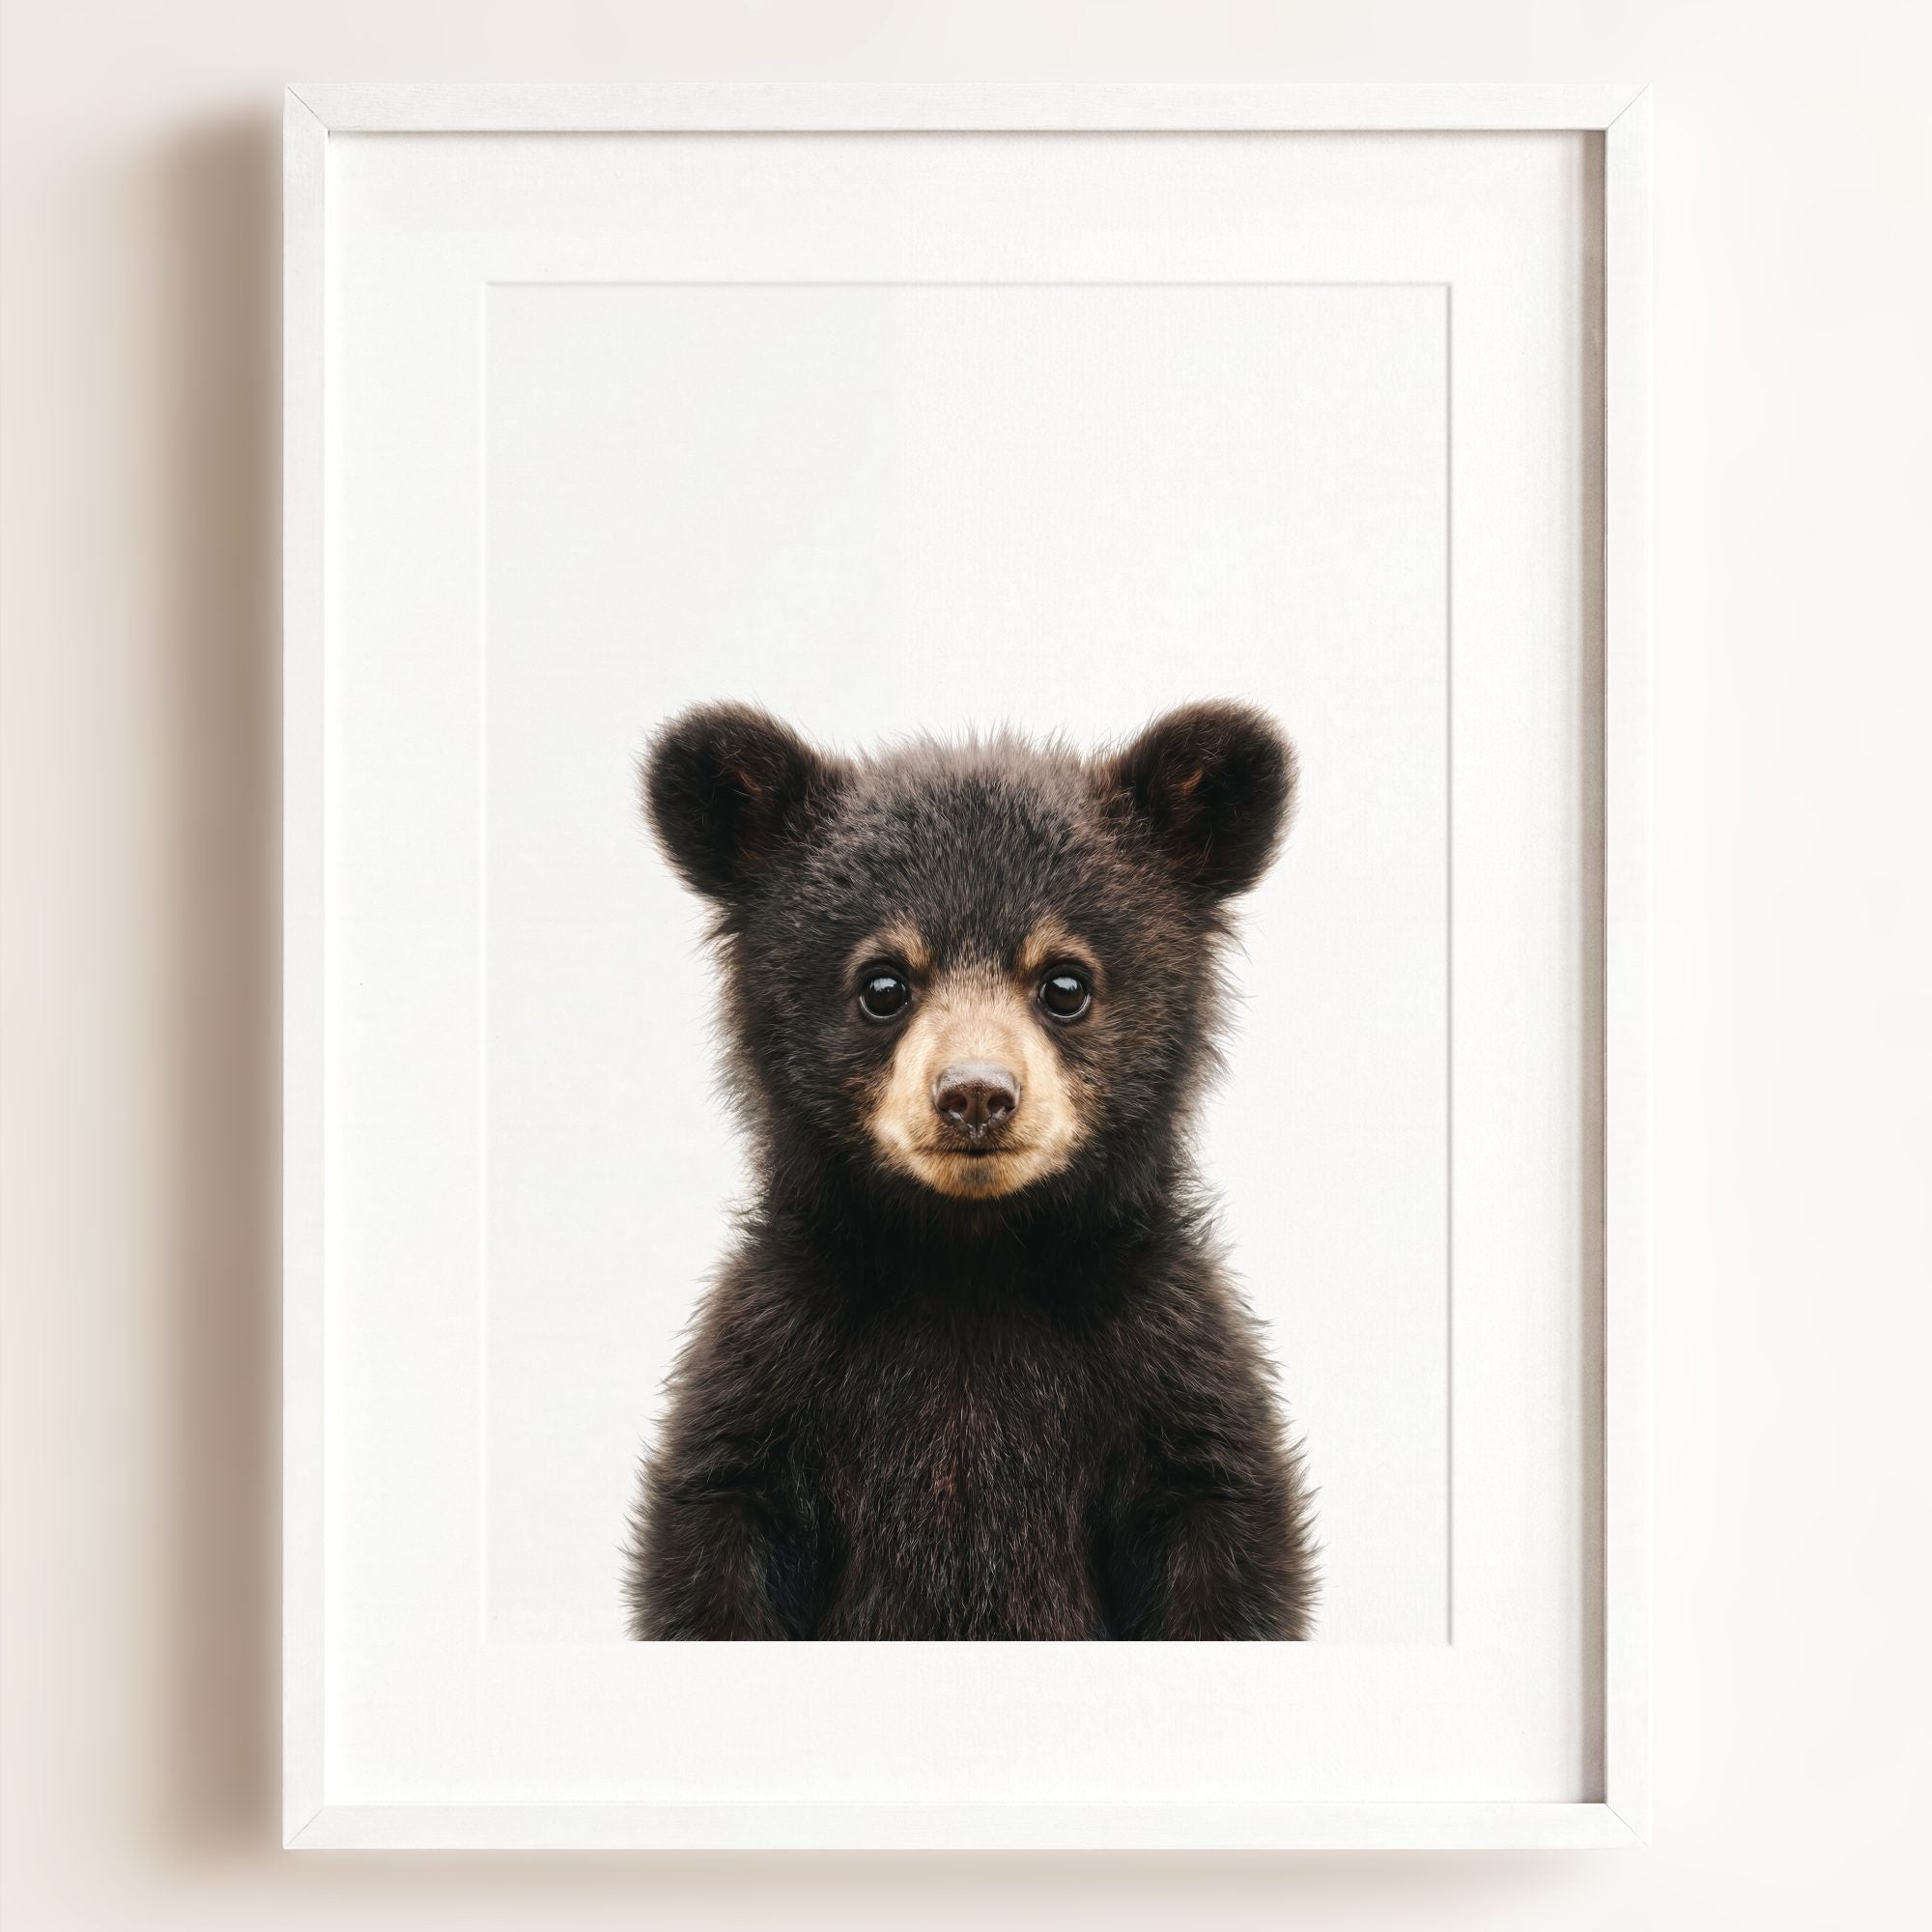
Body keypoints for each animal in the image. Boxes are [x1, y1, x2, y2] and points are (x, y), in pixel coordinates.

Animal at [623, 700, 1316, 1640]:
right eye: (883, 984)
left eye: (1065, 983)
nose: (977, 1095)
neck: (970, 1261)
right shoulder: (772, 1367)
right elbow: (716, 1538)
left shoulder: (1169, 1367)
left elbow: (1222, 1540)